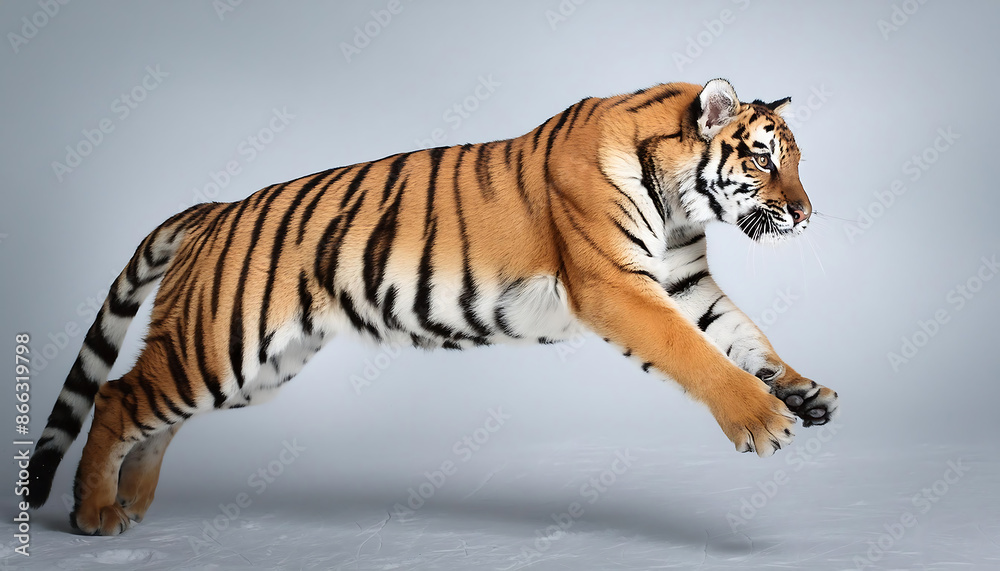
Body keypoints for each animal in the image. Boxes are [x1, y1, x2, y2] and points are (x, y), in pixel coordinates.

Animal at [28, 78, 838, 535]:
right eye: (764, 157)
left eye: (796, 158)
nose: (806, 213)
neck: (679, 201)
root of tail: (214, 209)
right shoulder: (617, 286)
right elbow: (694, 354)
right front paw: (762, 419)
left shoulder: (682, 282)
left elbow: (743, 336)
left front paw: (802, 391)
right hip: (220, 343)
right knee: (117, 395)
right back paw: (95, 515)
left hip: (255, 366)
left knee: (156, 414)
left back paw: (133, 503)